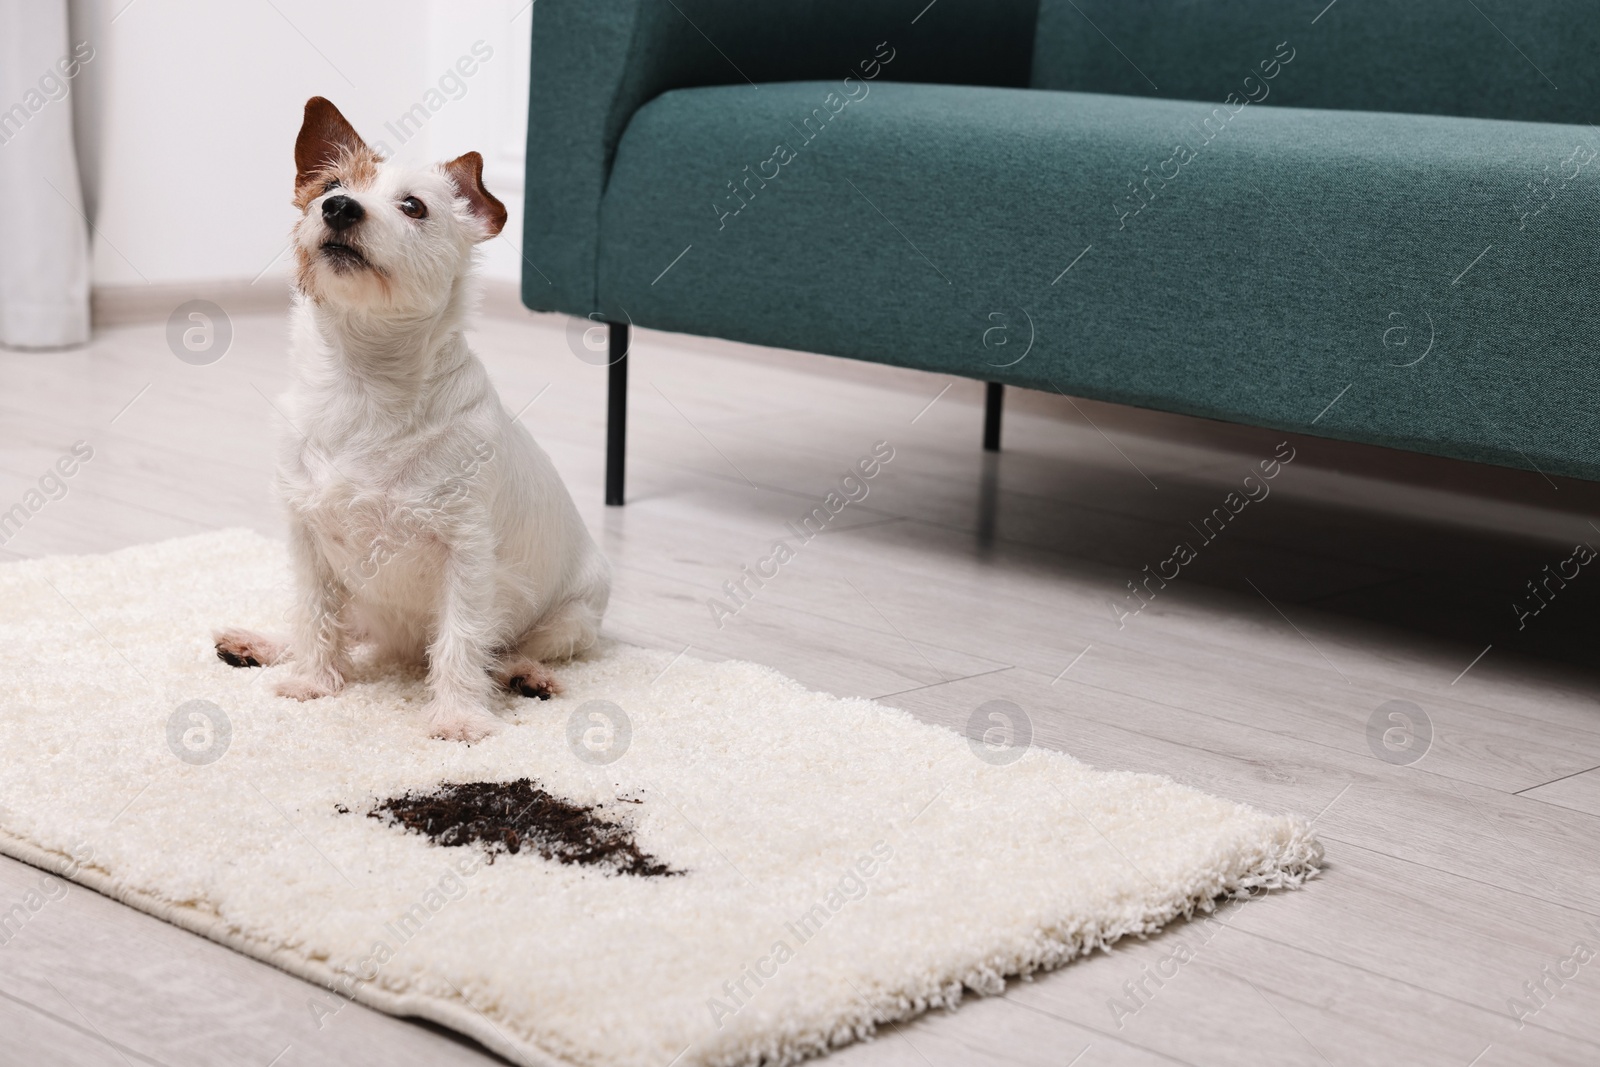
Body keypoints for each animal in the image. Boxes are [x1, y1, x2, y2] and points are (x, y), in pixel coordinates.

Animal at [214, 97, 611, 742]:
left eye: (413, 206)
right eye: (331, 186)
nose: (338, 208)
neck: (363, 383)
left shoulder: (466, 553)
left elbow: (461, 638)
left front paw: (456, 717)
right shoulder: (308, 539)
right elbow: (313, 614)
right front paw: (312, 683)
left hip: (573, 617)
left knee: (511, 647)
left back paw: (526, 676)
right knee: (339, 627)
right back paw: (264, 645)